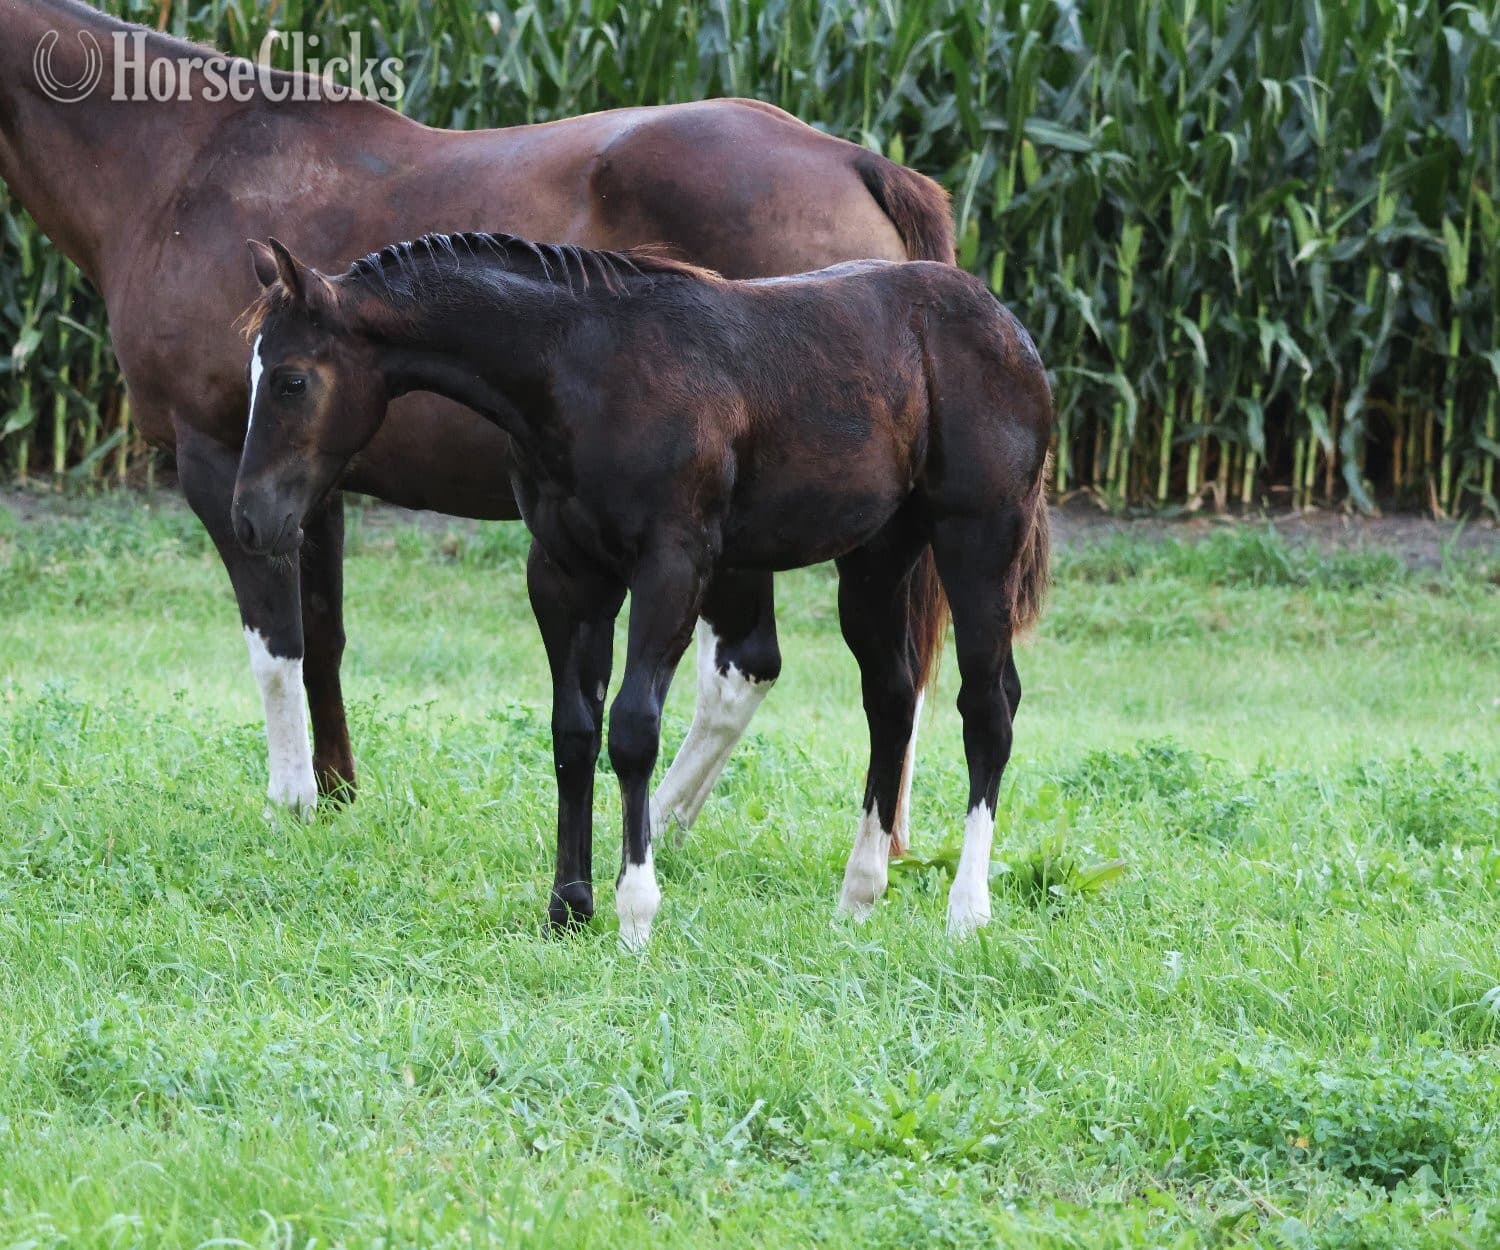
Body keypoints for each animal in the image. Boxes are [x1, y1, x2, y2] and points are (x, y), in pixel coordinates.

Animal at [0, 0, 953, 847]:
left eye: (290, 378)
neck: (182, 166)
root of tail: (855, 163)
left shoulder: (221, 465)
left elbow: (276, 640)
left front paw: (292, 801)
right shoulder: (304, 480)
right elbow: (323, 636)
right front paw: (337, 795)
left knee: (742, 665)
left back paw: (664, 824)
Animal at [233, 234, 1052, 945]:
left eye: (292, 380)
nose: (248, 519)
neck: (585, 373)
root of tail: (1006, 324)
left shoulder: (672, 565)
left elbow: (631, 729)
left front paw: (634, 914)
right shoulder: (565, 573)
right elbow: (572, 732)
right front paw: (567, 907)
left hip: (980, 542)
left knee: (988, 707)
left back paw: (966, 911)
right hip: (877, 561)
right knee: (891, 700)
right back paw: (858, 896)